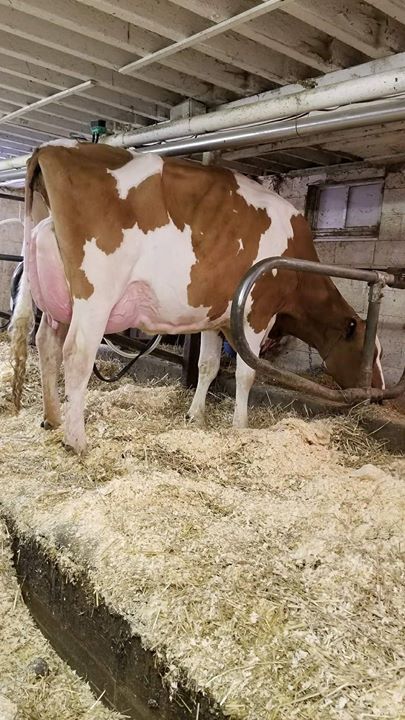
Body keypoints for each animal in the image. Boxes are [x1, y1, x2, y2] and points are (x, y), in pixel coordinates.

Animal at [10, 140, 384, 454]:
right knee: (76, 355)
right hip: (95, 295)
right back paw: (76, 440)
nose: (379, 394)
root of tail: (52, 148)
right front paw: (240, 426)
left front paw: (196, 416)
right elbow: (247, 373)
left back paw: (53, 418)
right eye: (370, 351)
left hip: (56, 297)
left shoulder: (215, 317)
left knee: (46, 343)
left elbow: (208, 365)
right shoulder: (256, 312)